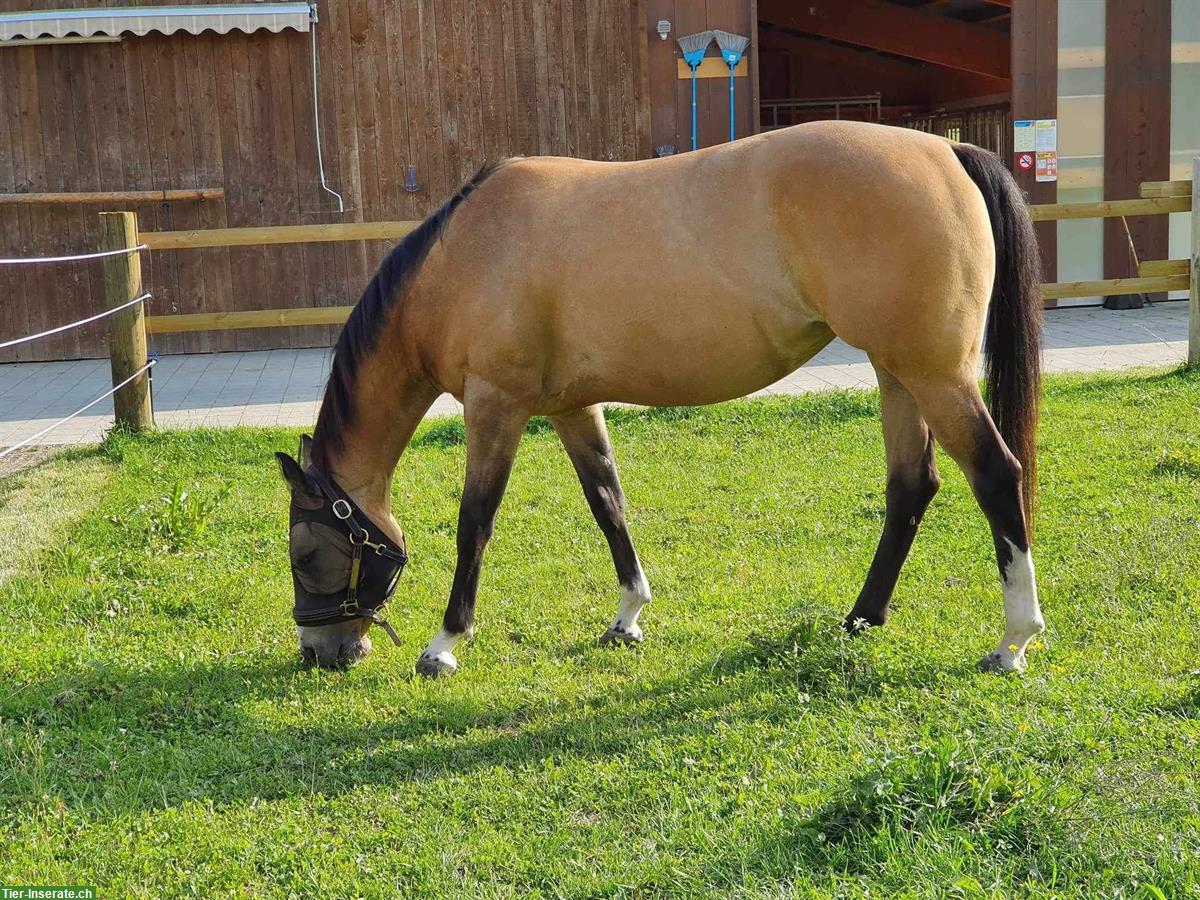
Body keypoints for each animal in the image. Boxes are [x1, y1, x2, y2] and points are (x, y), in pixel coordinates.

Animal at [276, 123, 1046, 681]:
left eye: (307, 553)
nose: (321, 652)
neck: (463, 256)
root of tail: (947, 148)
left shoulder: (496, 405)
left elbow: (476, 523)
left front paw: (443, 645)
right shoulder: (570, 409)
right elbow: (608, 504)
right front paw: (628, 617)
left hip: (936, 375)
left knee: (996, 475)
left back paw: (1013, 642)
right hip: (898, 374)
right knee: (911, 486)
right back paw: (860, 619)